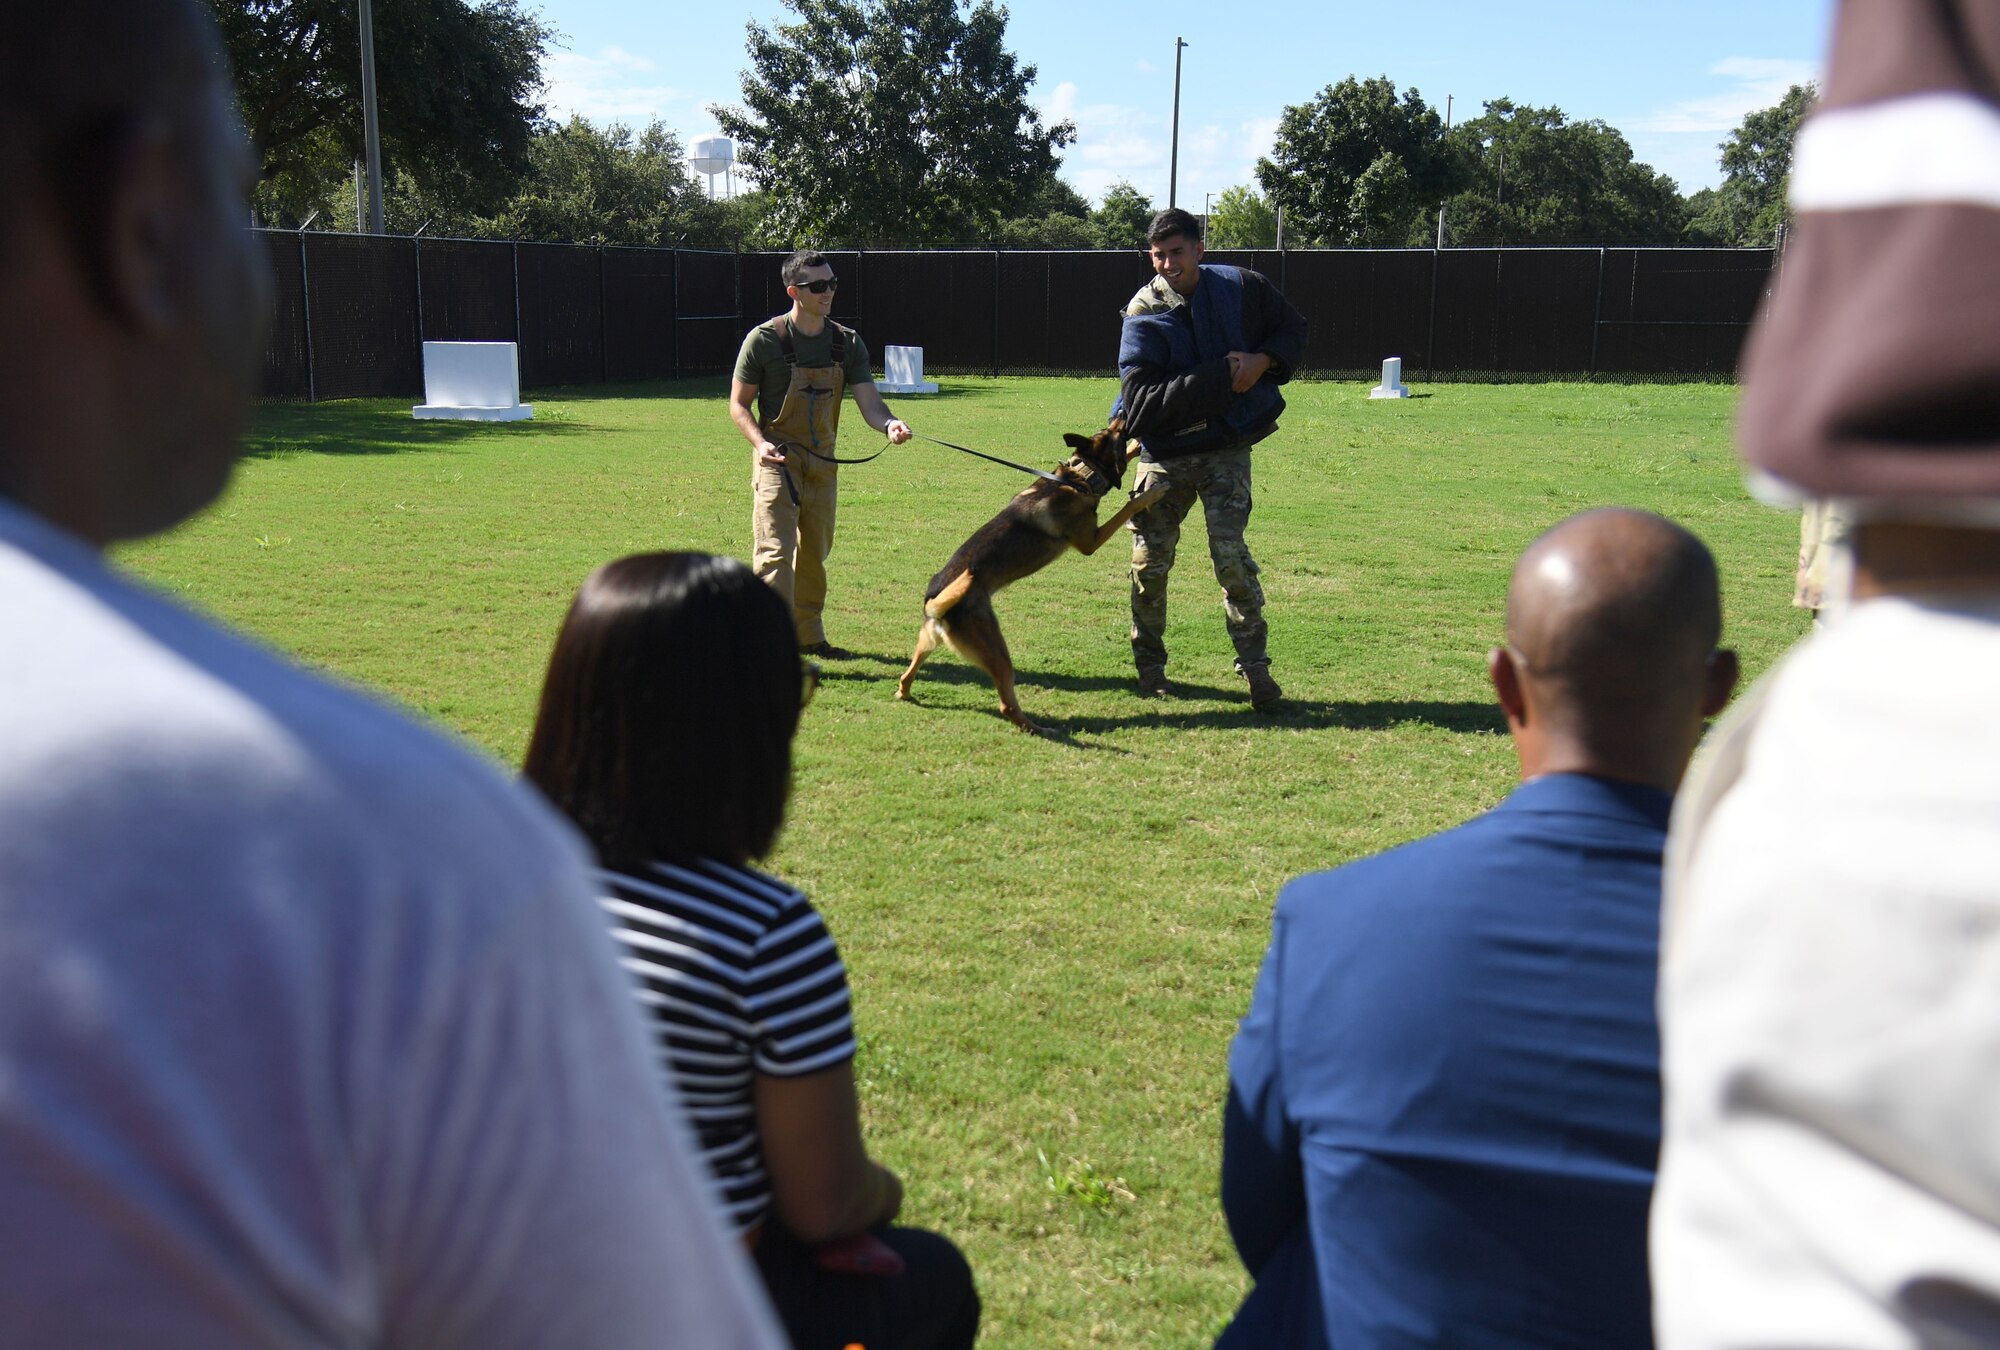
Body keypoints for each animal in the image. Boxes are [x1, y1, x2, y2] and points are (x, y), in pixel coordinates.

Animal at [900, 418, 1168, 736]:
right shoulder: (1089, 541)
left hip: (928, 643)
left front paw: (1135, 447)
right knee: (1007, 705)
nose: (1122, 417)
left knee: (906, 674)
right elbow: (1126, 507)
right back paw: (1039, 728)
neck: (1078, 478)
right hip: (998, 652)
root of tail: (937, 605)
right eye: (1112, 431)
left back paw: (904, 693)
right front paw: (1151, 493)